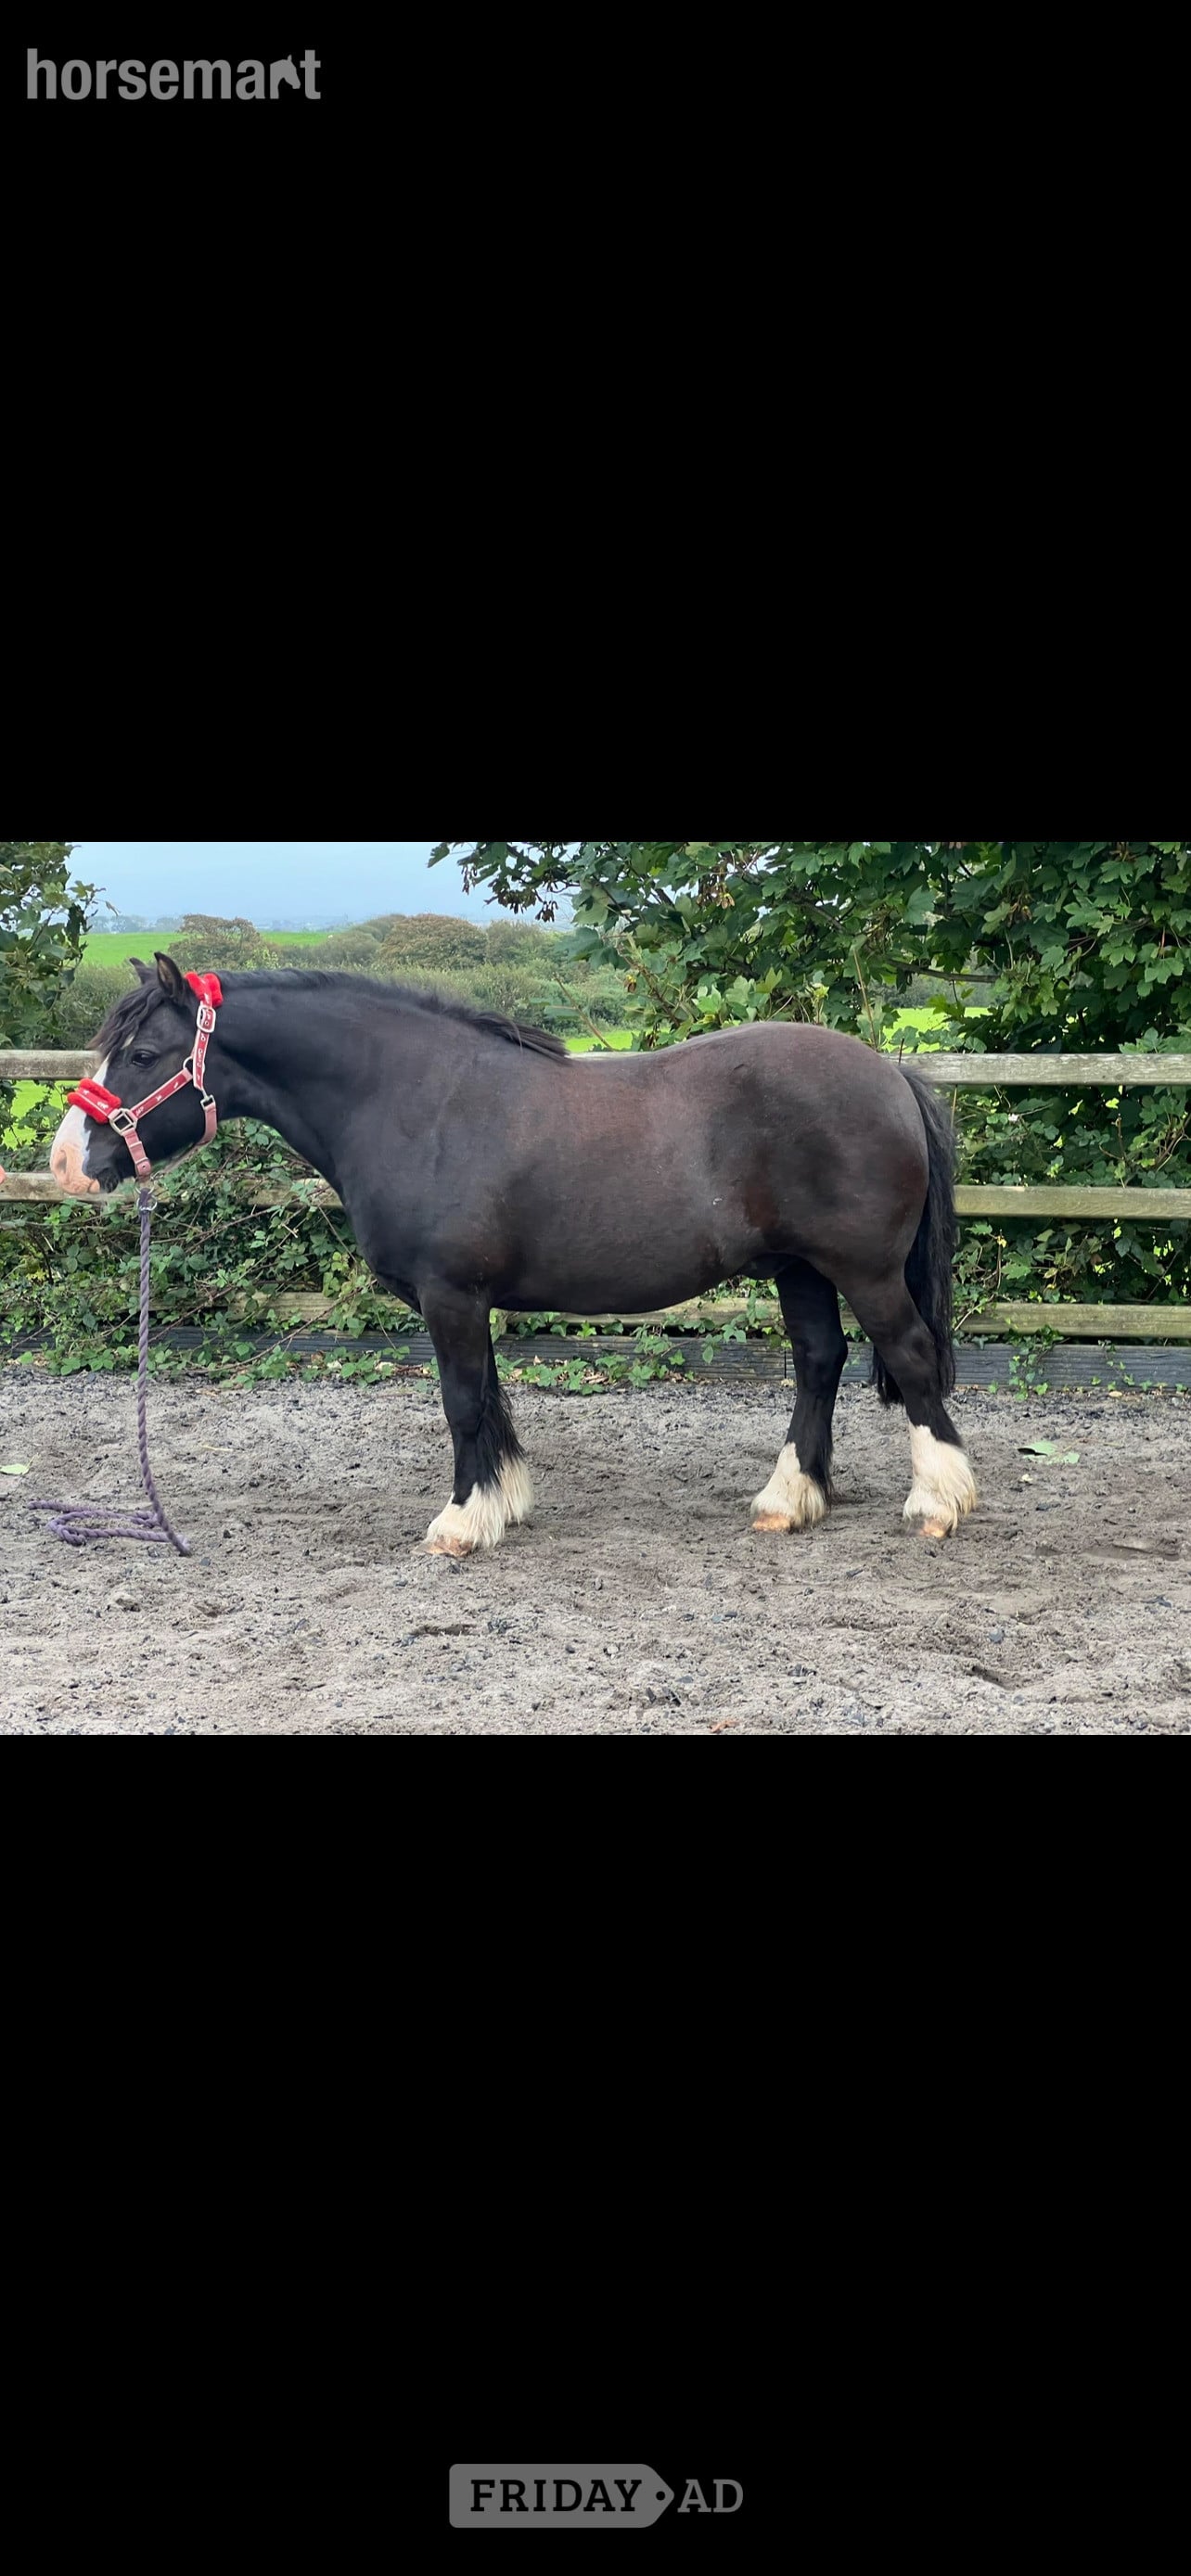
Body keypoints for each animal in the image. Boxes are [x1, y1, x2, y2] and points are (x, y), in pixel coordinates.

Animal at [49, 955, 977, 1554]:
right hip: (800, 1270)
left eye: (142, 1055)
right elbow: (489, 1400)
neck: (414, 1101)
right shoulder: (464, 1299)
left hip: (861, 1269)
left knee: (910, 1356)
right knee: (820, 1359)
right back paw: (790, 1500)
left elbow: (463, 1402)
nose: (64, 1163)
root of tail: (891, 1076)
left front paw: (461, 1523)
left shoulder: (450, 1295)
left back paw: (937, 1504)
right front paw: (501, 1504)